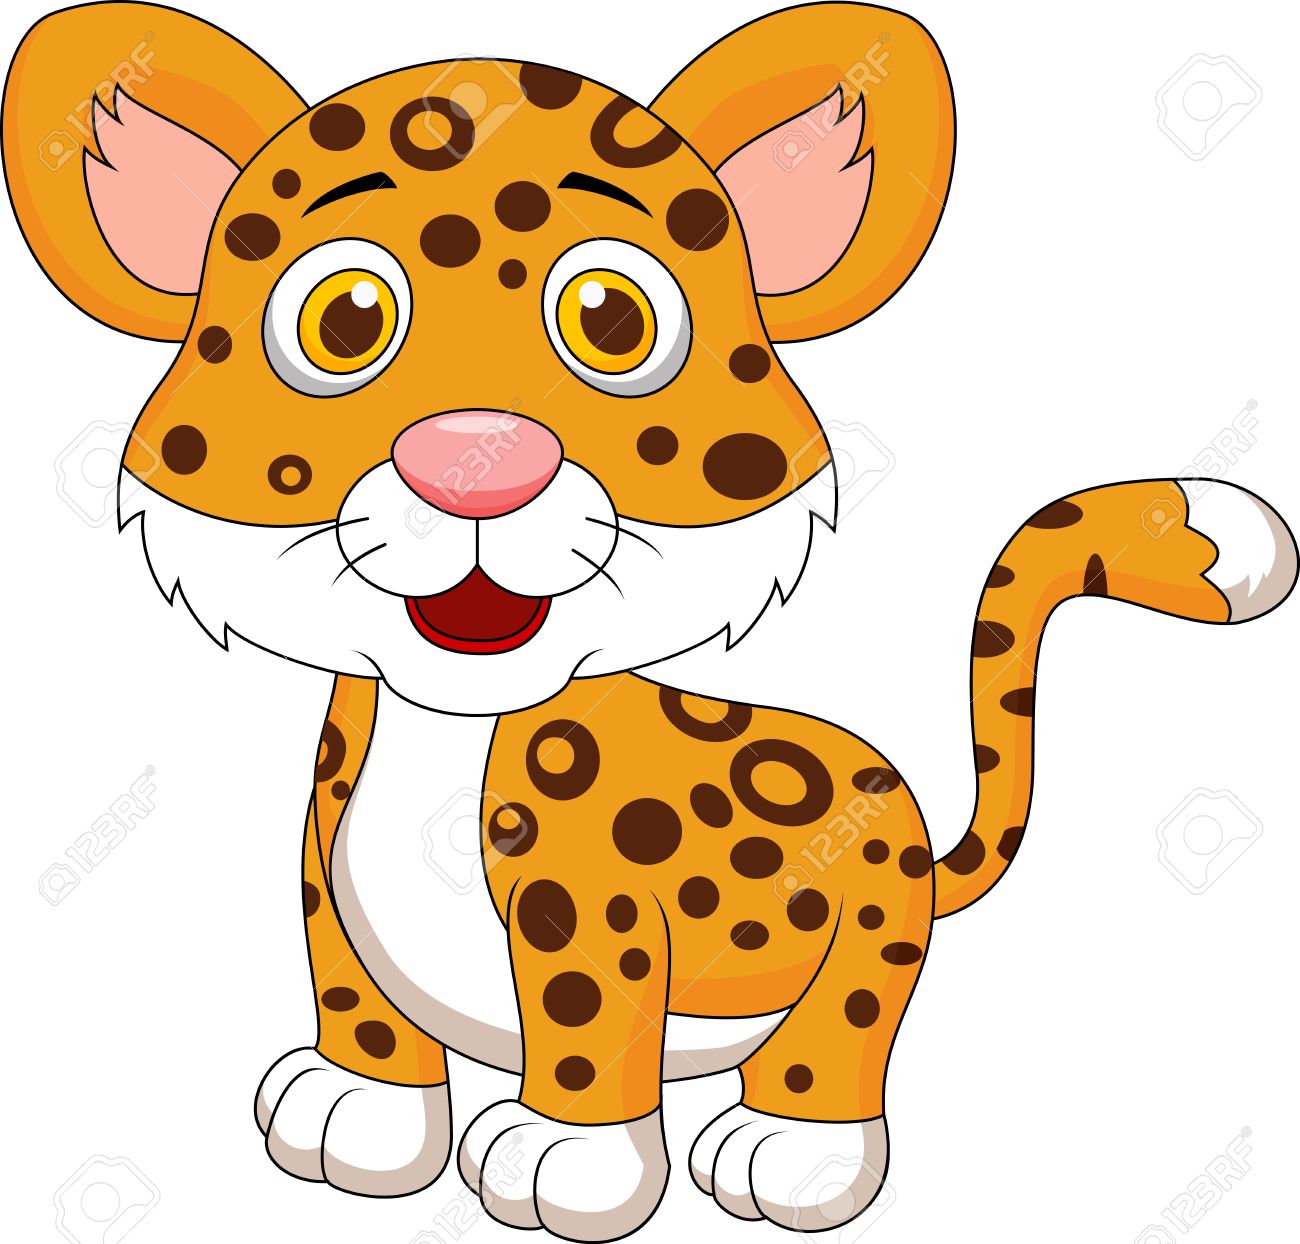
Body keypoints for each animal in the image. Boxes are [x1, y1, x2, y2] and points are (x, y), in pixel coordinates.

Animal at [5, 2, 1296, 1238]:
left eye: (613, 318)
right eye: (345, 318)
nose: (478, 467)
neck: (449, 727)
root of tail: (905, 811)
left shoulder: (591, 914)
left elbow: (580, 1027)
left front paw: (563, 1162)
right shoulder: (327, 862)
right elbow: (348, 981)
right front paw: (356, 1107)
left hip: (871, 938)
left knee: (842, 1035)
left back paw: (791, 1149)